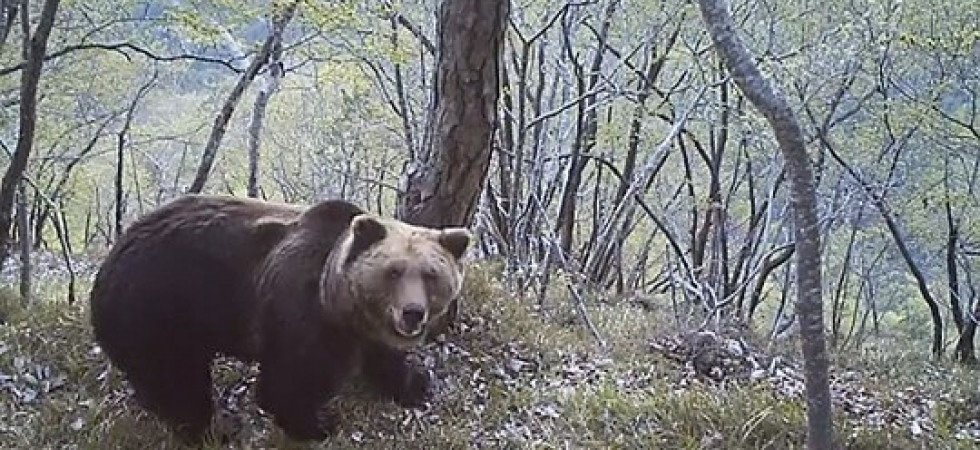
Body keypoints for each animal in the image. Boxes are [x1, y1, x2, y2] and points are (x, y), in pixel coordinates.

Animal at [87, 193, 471, 445]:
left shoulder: (365, 329)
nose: (413, 312)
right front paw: (318, 424)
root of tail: (108, 262)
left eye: (431, 274)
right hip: (158, 309)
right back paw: (215, 430)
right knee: (178, 379)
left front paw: (416, 384)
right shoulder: (302, 312)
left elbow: (385, 358)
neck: (337, 300)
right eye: (393, 271)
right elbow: (291, 381)